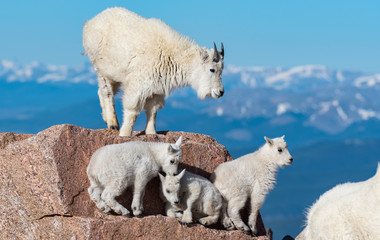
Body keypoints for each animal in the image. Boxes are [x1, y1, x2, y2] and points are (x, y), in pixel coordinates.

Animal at [82, 6, 224, 136]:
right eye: (212, 69)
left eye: (222, 70)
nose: (220, 92)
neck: (171, 56)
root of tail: (89, 23)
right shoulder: (138, 84)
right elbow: (133, 110)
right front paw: (125, 134)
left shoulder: (157, 89)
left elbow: (153, 110)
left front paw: (151, 133)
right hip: (101, 68)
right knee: (107, 92)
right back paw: (113, 123)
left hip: (114, 75)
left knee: (101, 91)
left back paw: (107, 119)